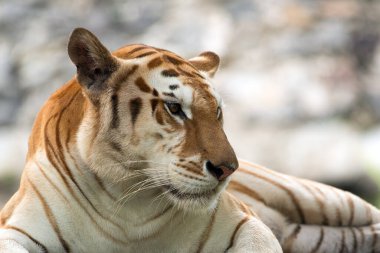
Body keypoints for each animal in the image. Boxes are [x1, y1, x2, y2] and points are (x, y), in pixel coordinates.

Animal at [0, 26, 378, 252]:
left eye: (218, 112)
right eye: (174, 108)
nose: (227, 169)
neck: (126, 200)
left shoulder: (245, 223)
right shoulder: (16, 229)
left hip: (321, 198)